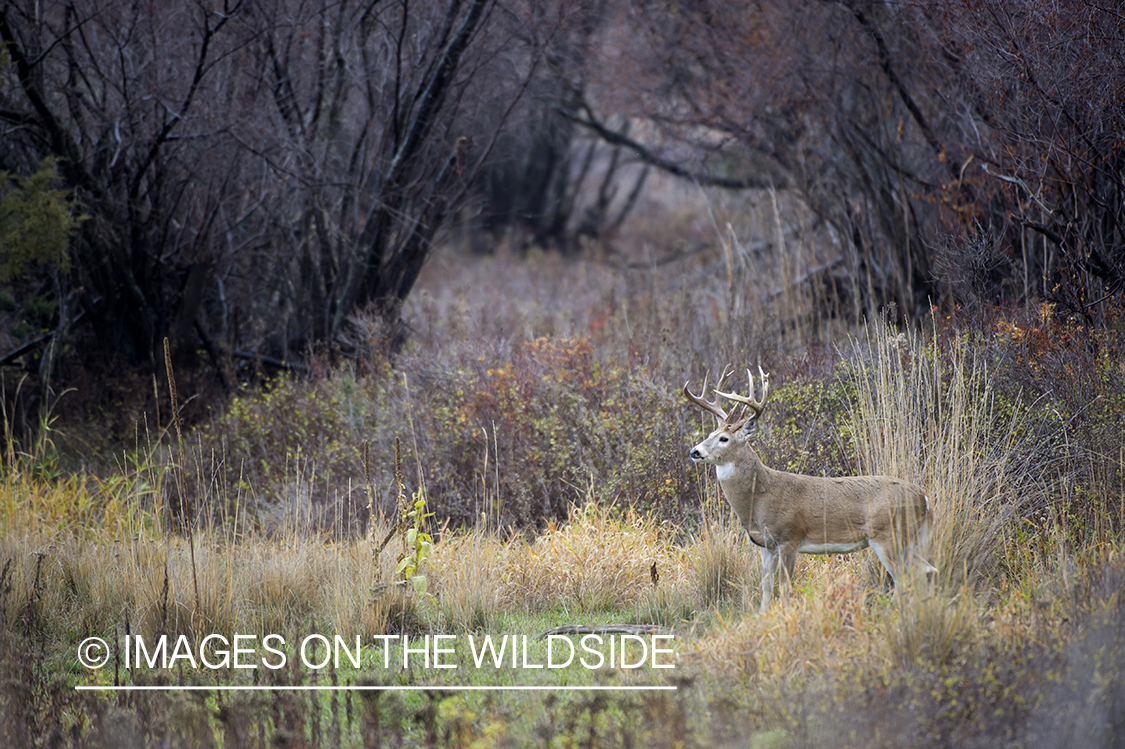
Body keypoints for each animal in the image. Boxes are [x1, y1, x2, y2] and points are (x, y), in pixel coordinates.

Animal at [684, 366, 940, 607]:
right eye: (710, 433)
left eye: (724, 439)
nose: (694, 451)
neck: (760, 498)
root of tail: (925, 498)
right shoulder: (765, 545)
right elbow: (765, 589)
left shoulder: (789, 537)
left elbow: (784, 589)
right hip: (912, 539)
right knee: (928, 571)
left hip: (889, 536)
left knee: (906, 578)